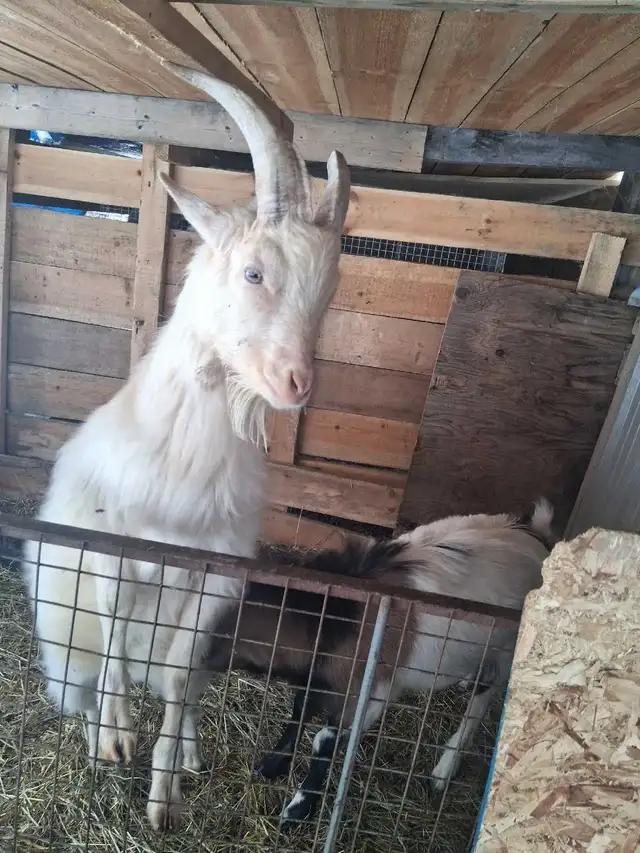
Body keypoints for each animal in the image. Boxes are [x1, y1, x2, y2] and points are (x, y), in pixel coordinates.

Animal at [21, 63, 350, 831]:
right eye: (254, 273)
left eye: (328, 291)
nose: (296, 383)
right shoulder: (111, 547)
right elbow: (114, 632)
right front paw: (118, 737)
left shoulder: (211, 581)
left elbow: (173, 682)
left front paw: (165, 793)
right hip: (64, 645)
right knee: (85, 679)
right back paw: (96, 738)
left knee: (186, 687)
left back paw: (193, 751)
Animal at [205, 499, 554, 826]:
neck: (337, 616)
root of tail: (536, 534)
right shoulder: (323, 674)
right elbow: (300, 710)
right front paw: (271, 765)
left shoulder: (372, 689)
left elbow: (324, 741)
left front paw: (297, 810)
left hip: (505, 652)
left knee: (482, 698)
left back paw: (443, 771)